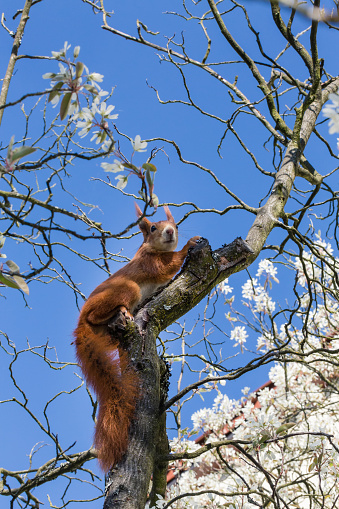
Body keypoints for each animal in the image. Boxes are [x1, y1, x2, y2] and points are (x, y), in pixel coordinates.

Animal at [73, 201, 201, 468]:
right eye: (153, 228)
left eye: (175, 225)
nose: (170, 232)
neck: (153, 250)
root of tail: (80, 324)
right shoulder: (149, 264)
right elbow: (169, 265)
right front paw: (189, 245)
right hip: (126, 288)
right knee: (98, 314)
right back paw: (122, 310)